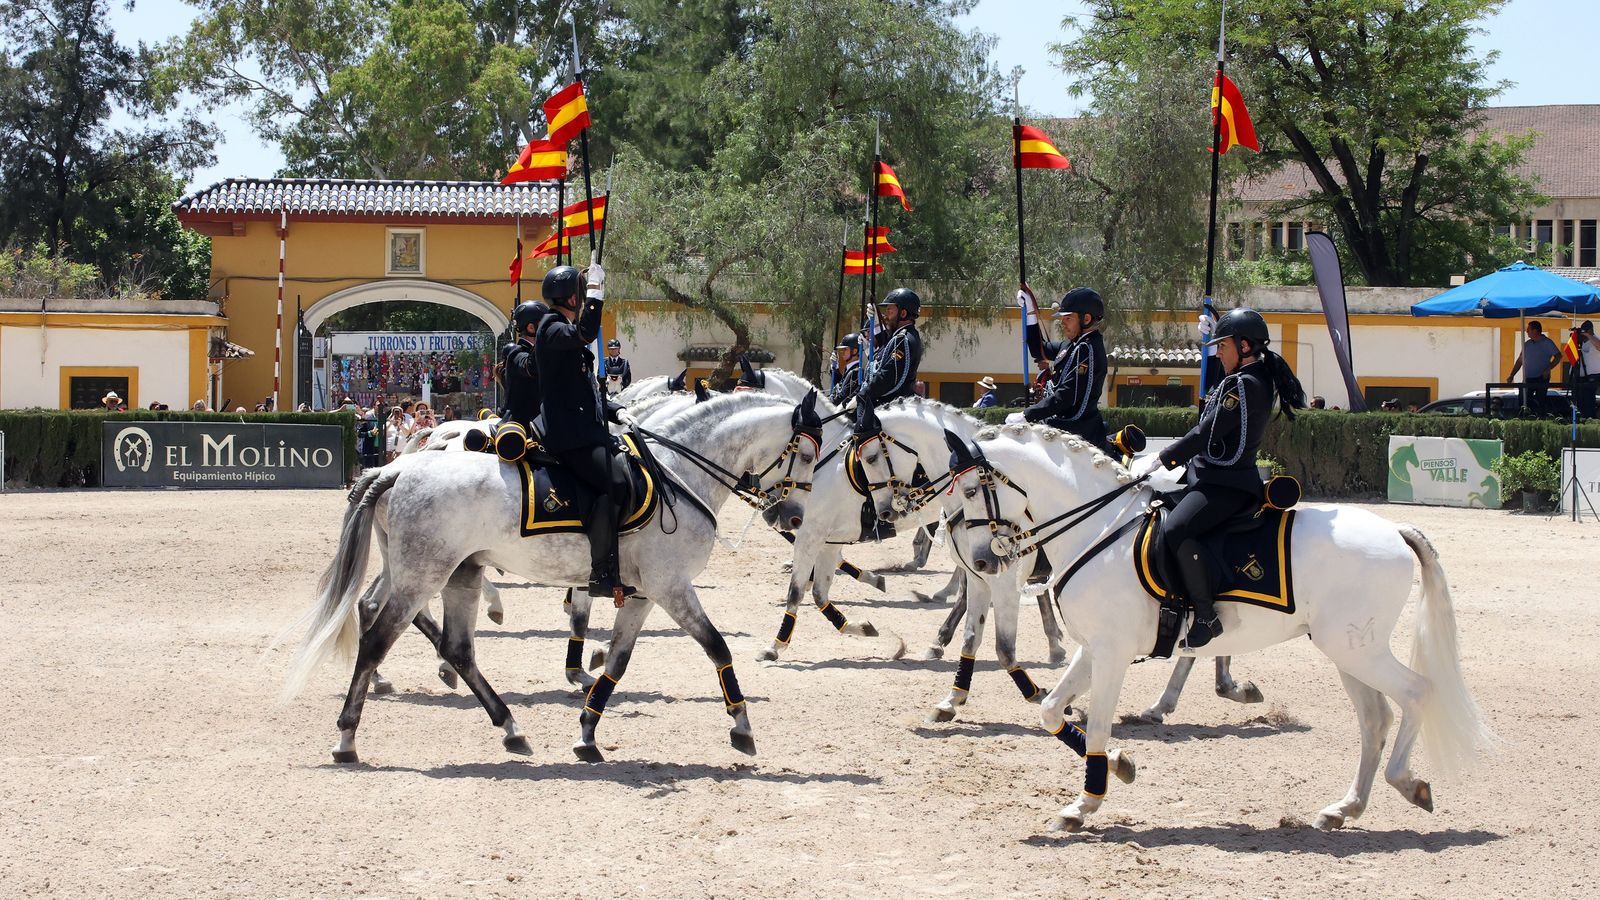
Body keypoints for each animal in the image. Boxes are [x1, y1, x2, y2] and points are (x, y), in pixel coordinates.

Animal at [283, 390, 830, 764]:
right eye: (805, 455)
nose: (794, 518)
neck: (677, 471)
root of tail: (398, 468)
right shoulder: (672, 587)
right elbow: (717, 646)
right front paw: (742, 726)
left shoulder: (644, 594)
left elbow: (618, 661)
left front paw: (587, 732)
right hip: (422, 574)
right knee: (377, 638)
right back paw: (347, 737)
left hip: (454, 573)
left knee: (454, 647)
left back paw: (510, 727)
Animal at [935, 421, 1495, 832]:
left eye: (972, 489)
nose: (981, 561)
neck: (1099, 528)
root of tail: (1395, 530)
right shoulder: (1094, 648)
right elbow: (1052, 709)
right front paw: (1116, 765)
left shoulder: (1112, 652)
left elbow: (1094, 722)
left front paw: (1087, 802)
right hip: (1348, 651)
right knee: (1375, 720)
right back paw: (1345, 808)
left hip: (1359, 650)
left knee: (1418, 693)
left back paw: (1408, 783)